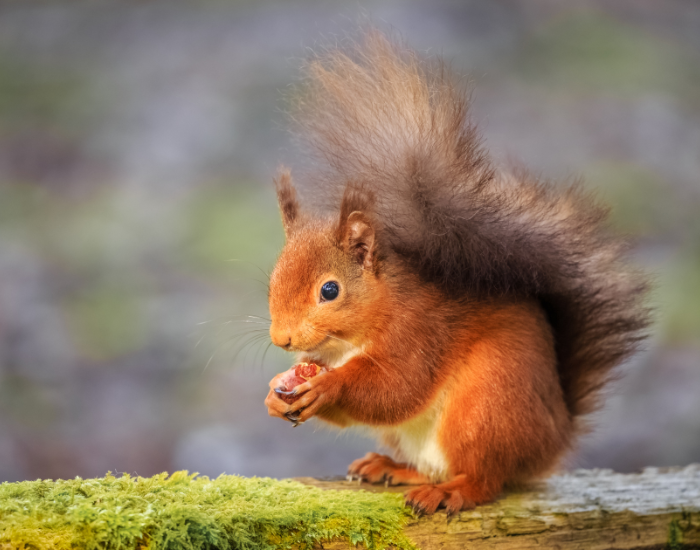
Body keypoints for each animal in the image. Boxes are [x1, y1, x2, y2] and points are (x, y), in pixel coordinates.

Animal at [263, 31, 650, 514]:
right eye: (272, 280)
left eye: (329, 290)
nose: (282, 339)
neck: (351, 339)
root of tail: (552, 438)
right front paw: (277, 393)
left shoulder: (420, 332)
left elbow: (397, 388)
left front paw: (327, 387)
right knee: (433, 467)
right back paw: (392, 468)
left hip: (484, 409)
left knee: (484, 479)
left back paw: (451, 492)